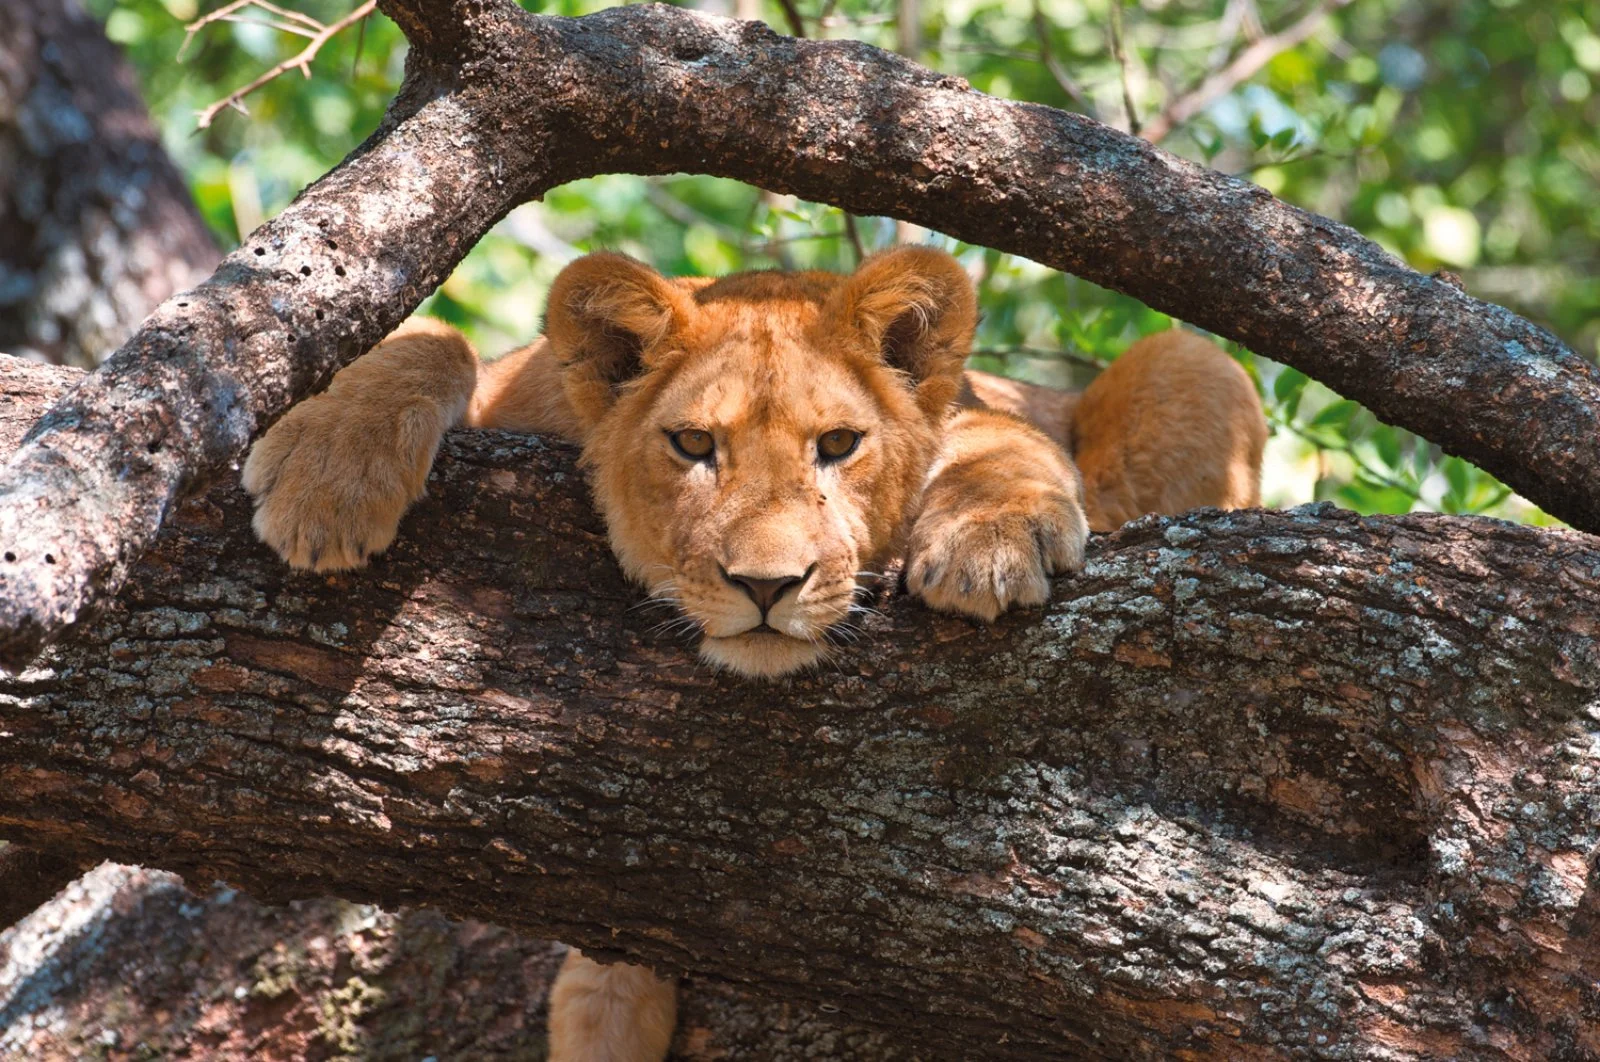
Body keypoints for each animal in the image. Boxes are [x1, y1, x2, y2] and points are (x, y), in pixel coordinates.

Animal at [240, 244, 1260, 1055]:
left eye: (840, 445)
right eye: (693, 443)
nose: (768, 587)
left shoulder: (983, 415)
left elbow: (994, 435)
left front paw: (991, 538)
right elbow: (435, 338)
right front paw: (327, 475)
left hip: (1197, 361)